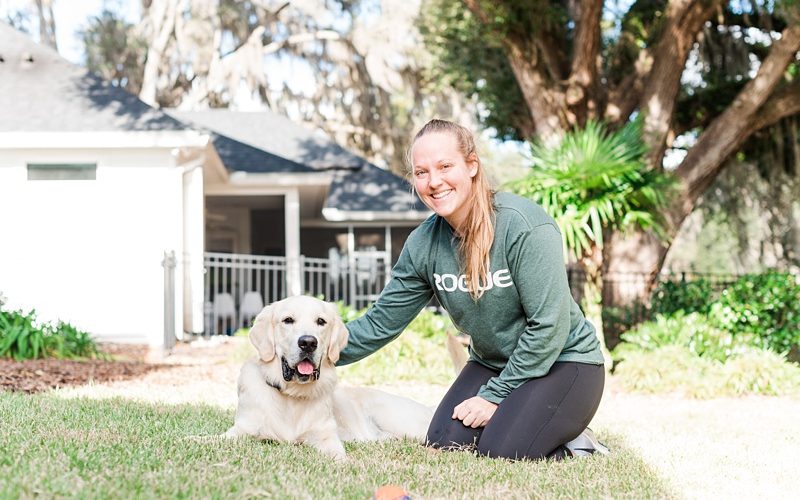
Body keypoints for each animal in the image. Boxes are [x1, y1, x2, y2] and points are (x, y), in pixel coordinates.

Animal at [225, 294, 434, 458]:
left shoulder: (325, 436)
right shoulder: (240, 430)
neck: (292, 395)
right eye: (288, 320)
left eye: (320, 321)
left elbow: (338, 455)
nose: (308, 343)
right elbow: (219, 440)